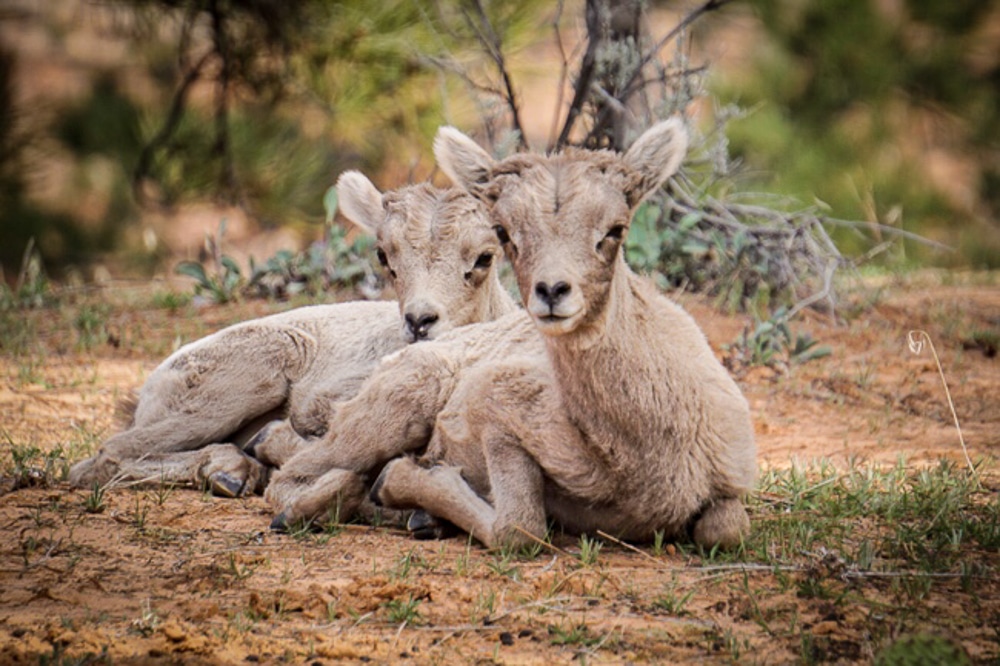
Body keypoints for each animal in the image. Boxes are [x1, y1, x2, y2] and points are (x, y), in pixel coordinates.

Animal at [67, 172, 517, 497]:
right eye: (384, 255)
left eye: (484, 257)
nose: (420, 321)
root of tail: (149, 389)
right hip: (246, 382)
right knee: (107, 456)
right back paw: (231, 471)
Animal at [267, 119, 756, 550]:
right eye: (505, 232)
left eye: (615, 229)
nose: (553, 291)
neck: (638, 450)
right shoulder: (498, 415)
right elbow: (519, 527)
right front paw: (400, 480)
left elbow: (725, 530)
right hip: (398, 403)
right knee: (291, 479)